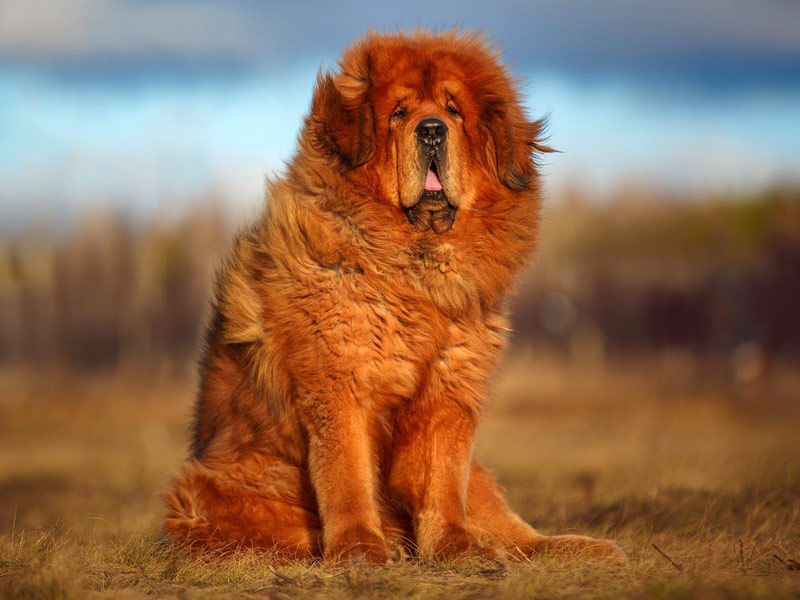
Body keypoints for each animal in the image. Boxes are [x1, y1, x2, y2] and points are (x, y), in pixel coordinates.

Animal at [164, 30, 624, 564]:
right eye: (399, 113)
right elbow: (347, 475)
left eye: (453, 110)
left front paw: (454, 547)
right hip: (209, 491)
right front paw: (360, 547)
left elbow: (442, 481)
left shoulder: (449, 392)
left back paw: (576, 548)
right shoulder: (340, 385)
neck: (415, 274)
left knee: (515, 531)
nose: (432, 131)